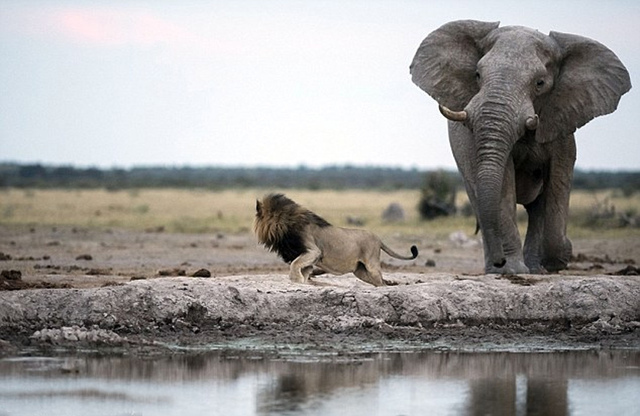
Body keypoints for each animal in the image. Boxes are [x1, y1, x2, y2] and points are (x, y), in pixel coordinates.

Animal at [252, 194, 418, 286]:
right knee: (378, 282)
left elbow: (295, 264)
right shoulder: (307, 257)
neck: (283, 226)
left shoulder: (313, 251)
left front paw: (295, 280)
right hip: (360, 271)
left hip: (372, 264)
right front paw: (303, 281)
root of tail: (378, 238)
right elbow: (303, 269)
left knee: (381, 282)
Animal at [410, 20, 632, 272]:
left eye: (540, 83)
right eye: (477, 75)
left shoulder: (562, 122)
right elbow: (504, 187)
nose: (500, 261)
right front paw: (513, 270)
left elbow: (558, 182)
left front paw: (557, 258)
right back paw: (501, 269)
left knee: (537, 210)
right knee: (481, 201)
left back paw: (536, 269)